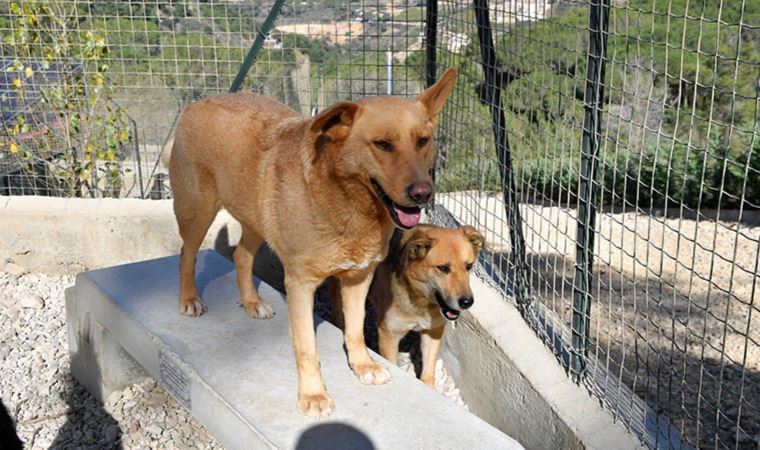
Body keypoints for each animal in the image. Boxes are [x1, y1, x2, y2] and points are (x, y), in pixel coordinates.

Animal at [169, 68, 454, 416]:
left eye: (423, 141)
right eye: (383, 144)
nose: (423, 194)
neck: (347, 201)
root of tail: (199, 102)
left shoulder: (359, 277)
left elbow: (355, 329)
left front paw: (362, 366)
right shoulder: (300, 285)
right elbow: (306, 347)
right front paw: (313, 395)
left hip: (256, 220)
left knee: (241, 257)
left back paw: (252, 302)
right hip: (197, 211)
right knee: (187, 253)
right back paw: (189, 299)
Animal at [360, 225, 480, 386]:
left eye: (469, 266)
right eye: (443, 268)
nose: (467, 302)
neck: (420, 301)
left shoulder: (433, 331)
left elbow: (428, 370)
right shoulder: (389, 335)